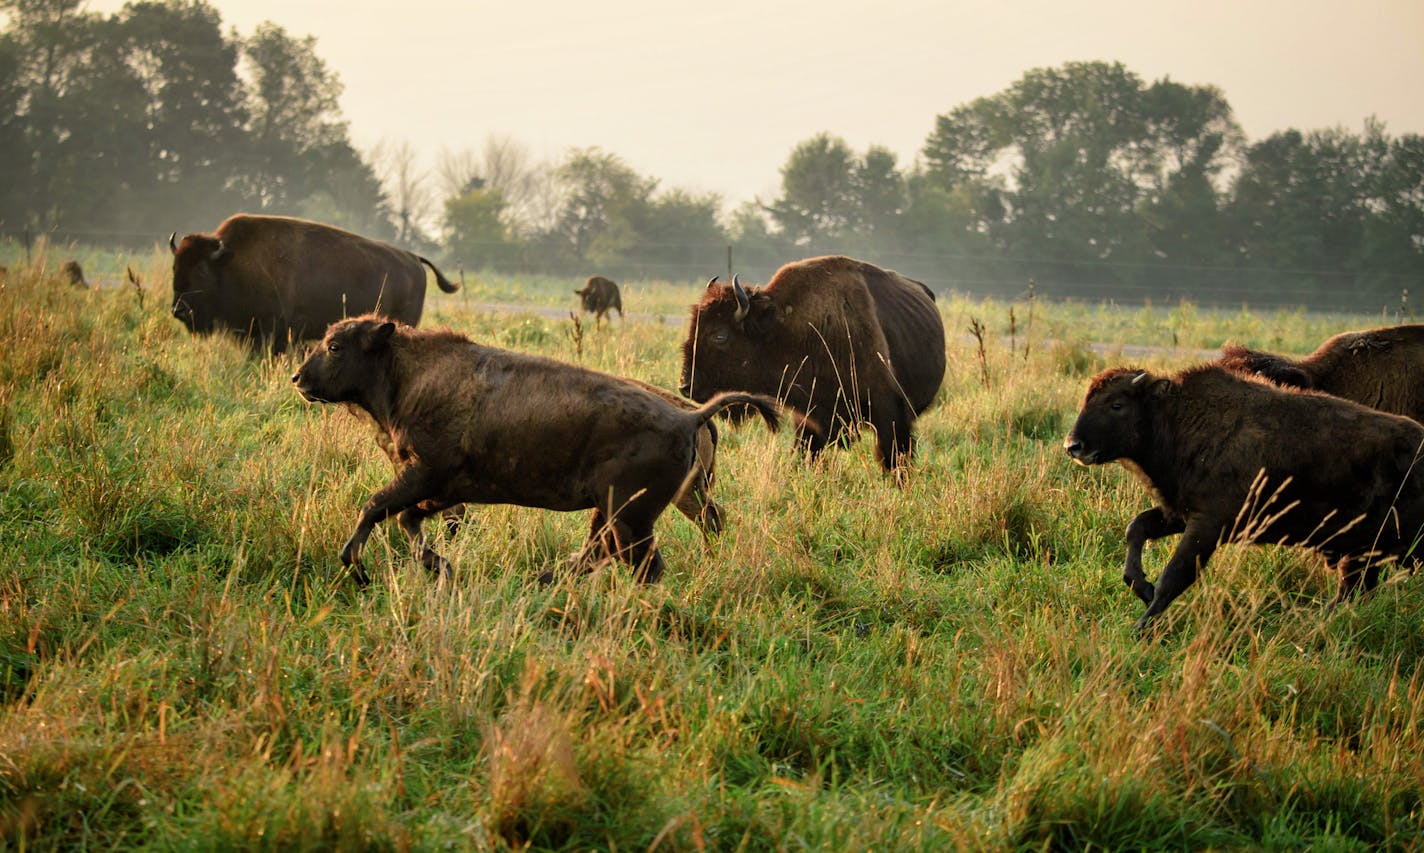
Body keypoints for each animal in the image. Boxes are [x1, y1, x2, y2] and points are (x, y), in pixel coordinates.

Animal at [167, 216, 458, 357]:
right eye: (174, 266)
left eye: (201, 270)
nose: (178, 311)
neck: (231, 260)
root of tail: (413, 258)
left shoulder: (271, 328)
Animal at [289, 313, 780, 586]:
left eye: (335, 346)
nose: (298, 378)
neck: (406, 371)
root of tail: (689, 417)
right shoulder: (444, 489)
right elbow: (406, 519)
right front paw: (441, 567)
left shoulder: (423, 475)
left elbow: (375, 507)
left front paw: (356, 567)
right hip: (619, 510)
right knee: (602, 553)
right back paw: (543, 580)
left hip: (630, 515)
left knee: (639, 562)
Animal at [1065, 364, 1424, 635]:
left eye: (1117, 404)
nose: (1073, 445)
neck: (1176, 418)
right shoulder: (1181, 514)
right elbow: (1136, 528)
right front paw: (1141, 587)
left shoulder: (1208, 525)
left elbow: (1175, 575)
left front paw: (1141, 627)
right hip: (1364, 552)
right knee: (1352, 592)